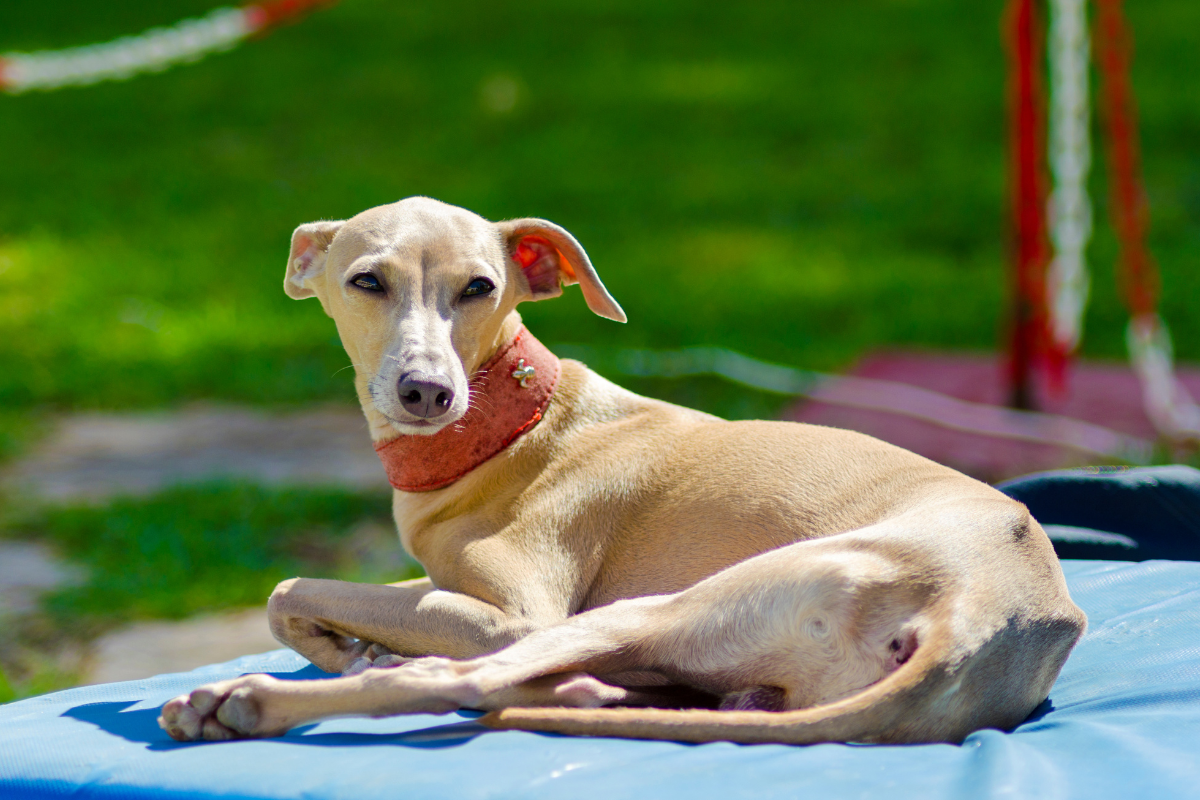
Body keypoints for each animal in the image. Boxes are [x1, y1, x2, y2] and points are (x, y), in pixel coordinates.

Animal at [157, 195, 1089, 743]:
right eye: (365, 280)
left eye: (479, 287)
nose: (426, 392)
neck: (512, 429)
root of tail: (983, 620)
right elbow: (307, 598)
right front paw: (346, 643)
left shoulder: (515, 613)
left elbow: (292, 586)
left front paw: (341, 647)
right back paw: (582, 696)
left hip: (660, 607)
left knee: (459, 680)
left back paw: (243, 702)